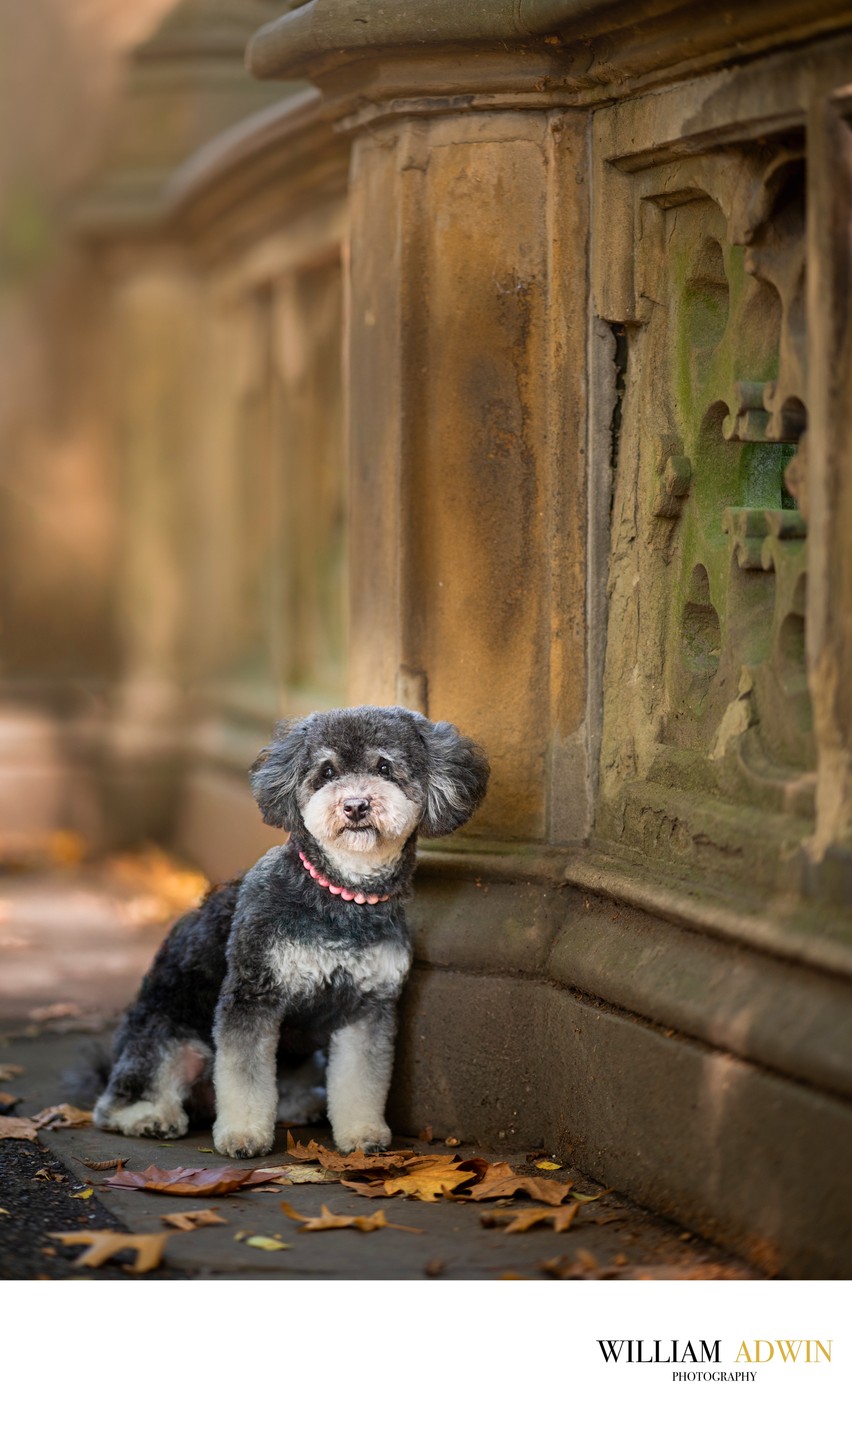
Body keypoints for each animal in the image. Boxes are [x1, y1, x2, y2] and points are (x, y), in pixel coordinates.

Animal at [89, 704, 488, 1155]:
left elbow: (361, 1078)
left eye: (384, 767)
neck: (342, 897)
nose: (355, 805)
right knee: (120, 1099)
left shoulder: (367, 1007)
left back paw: (303, 1105)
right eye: (327, 771)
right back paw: (149, 1117)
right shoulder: (252, 995)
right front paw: (243, 1134)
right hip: (172, 1038)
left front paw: (362, 1133)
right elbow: (243, 1075)